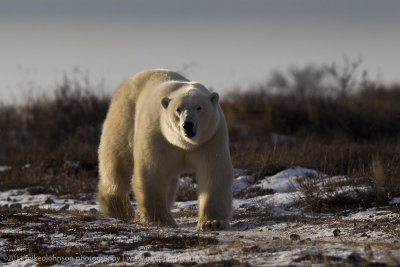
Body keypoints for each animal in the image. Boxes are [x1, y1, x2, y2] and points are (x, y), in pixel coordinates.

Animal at [97, 70, 234, 231]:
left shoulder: (210, 139)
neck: (184, 144)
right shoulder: (158, 135)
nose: (188, 125)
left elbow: (213, 173)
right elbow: (153, 171)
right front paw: (161, 220)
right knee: (119, 161)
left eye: (199, 107)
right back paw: (119, 209)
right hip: (125, 115)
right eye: (178, 109)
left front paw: (211, 223)